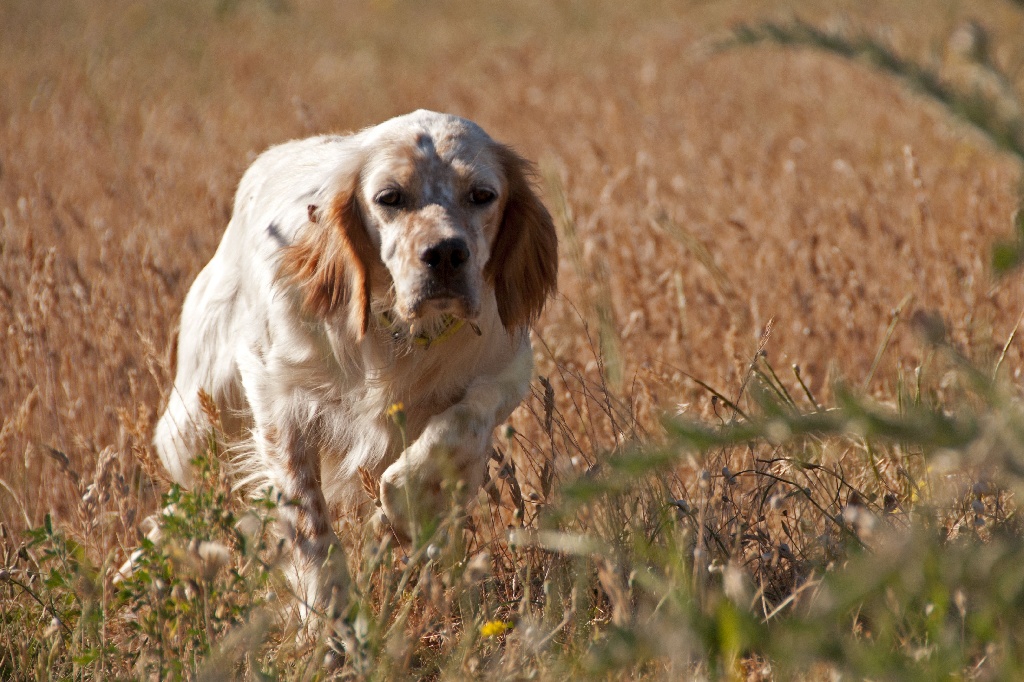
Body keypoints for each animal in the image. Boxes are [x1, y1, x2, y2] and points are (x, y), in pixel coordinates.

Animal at [149, 110, 561, 610]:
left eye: (483, 195)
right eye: (389, 197)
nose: (445, 253)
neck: (403, 335)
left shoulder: (507, 370)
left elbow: (458, 429)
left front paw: (404, 508)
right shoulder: (278, 395)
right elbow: (307, 519)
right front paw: (329, 612)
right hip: (194, 419)